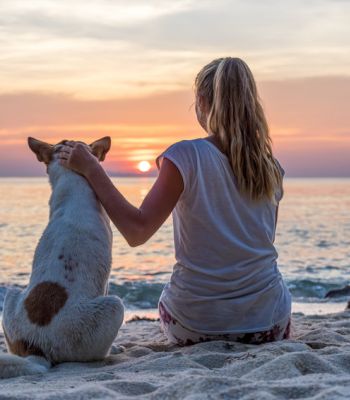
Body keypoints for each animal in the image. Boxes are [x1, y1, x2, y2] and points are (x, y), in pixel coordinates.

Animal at [0, 137, 124, 378]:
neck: (71, 179)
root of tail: (36, 348)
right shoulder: (105, 284)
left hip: (11, 295)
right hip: (113, 306)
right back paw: (111, 350)